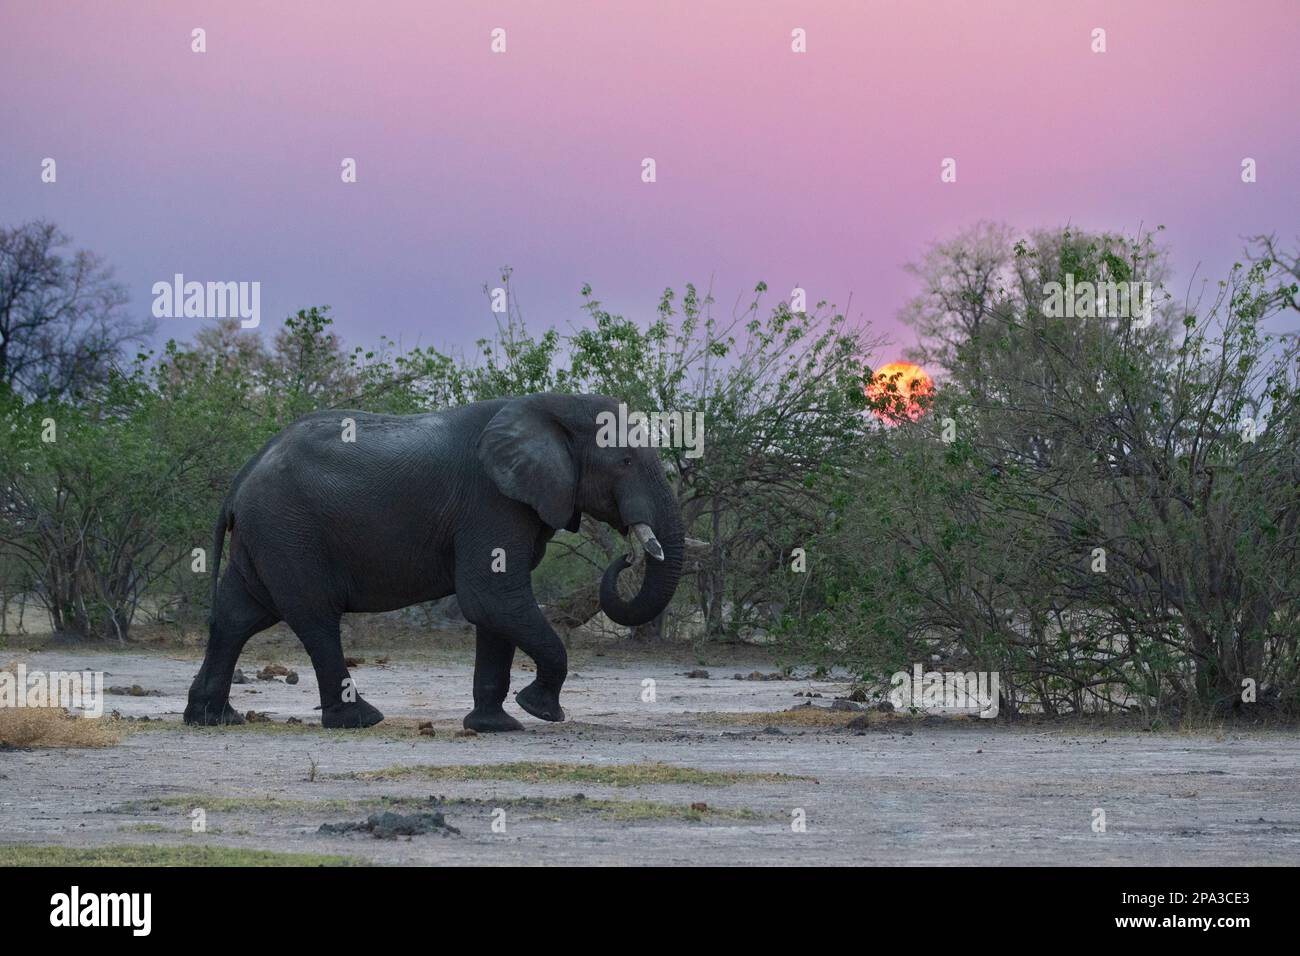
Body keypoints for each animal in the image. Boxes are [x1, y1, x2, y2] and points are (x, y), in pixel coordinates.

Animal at [189, 395, 691, 733]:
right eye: (625, 460)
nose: (627, 553)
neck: (550, 406)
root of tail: (242, 477)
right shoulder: (491, 501)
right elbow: (491, 598)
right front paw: (540, 710)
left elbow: (496, 609)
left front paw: (495, 726)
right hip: (288, 530)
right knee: (314, 617)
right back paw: (361, 719)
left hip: (267, 535)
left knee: (238, 616)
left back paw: (214, 718)